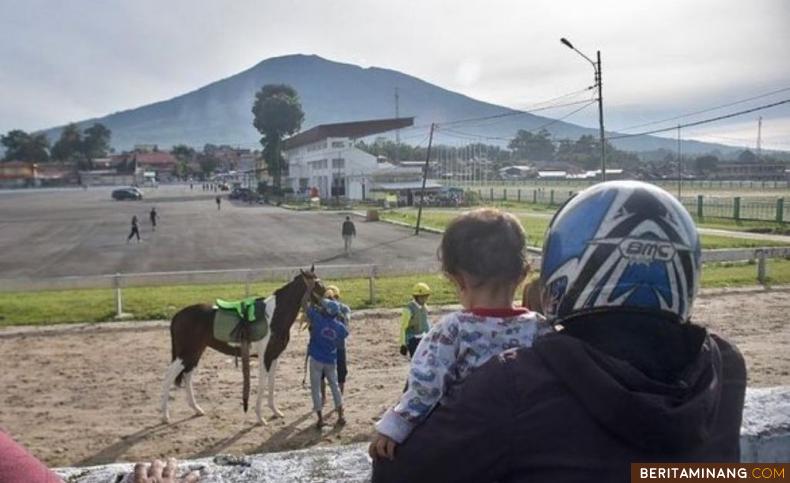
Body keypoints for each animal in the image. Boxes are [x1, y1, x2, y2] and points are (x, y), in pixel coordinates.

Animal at [161, 266, 324, 426]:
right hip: (185, 354)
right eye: (317, 285)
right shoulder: (264, 358)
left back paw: (197, 409)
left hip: (195, 353)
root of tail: (177, 316)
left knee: (187, 376)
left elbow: (271, 384)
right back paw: (165, 416)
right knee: (168, 377)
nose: (328, 302)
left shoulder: (274, 357)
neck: (273, 316)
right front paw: (260, 418)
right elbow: (262, 384)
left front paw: (275, 411)